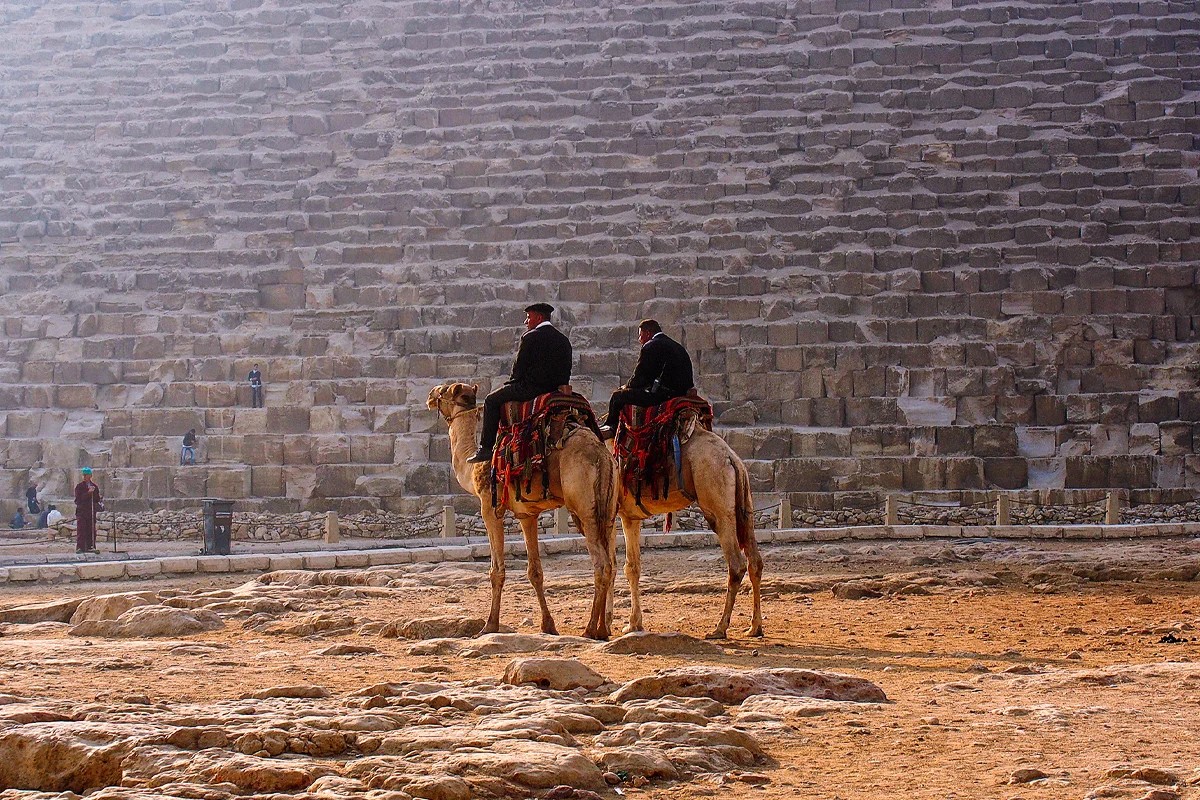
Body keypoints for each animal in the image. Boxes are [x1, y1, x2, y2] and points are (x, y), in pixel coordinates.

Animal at [427, 382, 619, 640]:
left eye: (443, 390)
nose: (429, 396)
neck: (471, 466)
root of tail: (602, 456)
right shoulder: (527, 514)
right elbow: (535, 571)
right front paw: (548, 626)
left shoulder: (489, 507)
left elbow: (496, 571)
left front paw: (489, 626)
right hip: (607, 507)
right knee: (611, 563)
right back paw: (602, 629)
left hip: (584, 507)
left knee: (601, 564)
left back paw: (590, 630)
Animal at [613, 424, 764, 640]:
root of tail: (732, 458)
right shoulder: (629, 517)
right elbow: (632, 567)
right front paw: (633, 624)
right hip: (745, 504)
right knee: (755, 562)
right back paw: (754, 627)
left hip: (716, 500)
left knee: (736, 563)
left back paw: (720, 628)